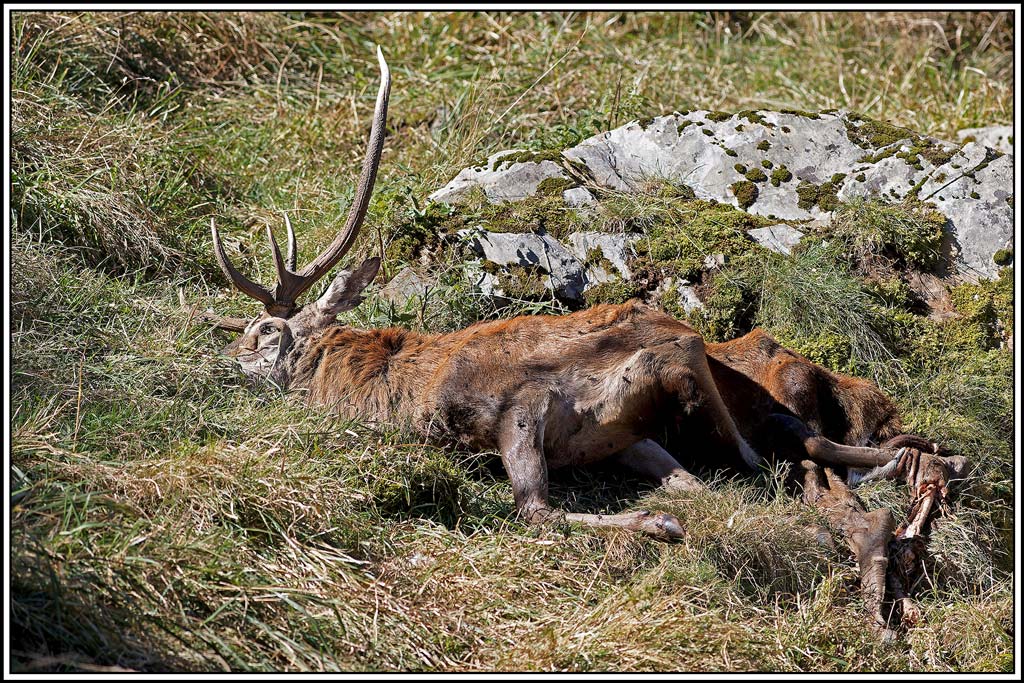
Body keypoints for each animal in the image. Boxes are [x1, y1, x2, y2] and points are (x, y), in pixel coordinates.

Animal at [202, 48, 967, 634]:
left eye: (261, 332)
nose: (220, 364)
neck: (395, 388)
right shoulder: (623, 437)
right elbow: (679, 481)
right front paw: (676, 512)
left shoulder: (526, 404)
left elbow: (536, 507)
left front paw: (661, 524)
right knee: (820, 455)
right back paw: (910, 494)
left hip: (686, 362)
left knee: (788, 461)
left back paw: (874, 566)